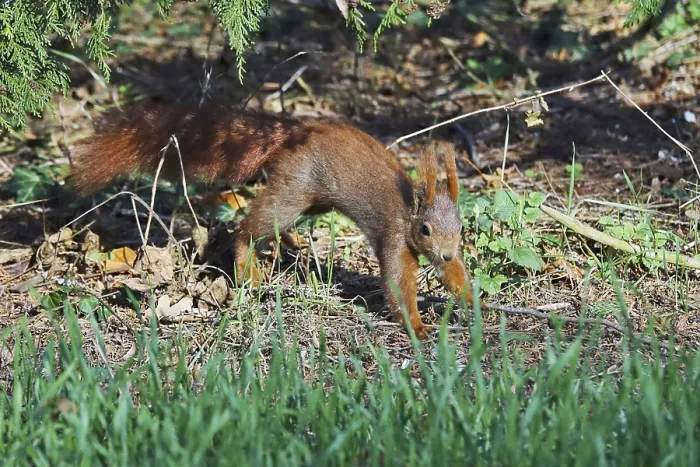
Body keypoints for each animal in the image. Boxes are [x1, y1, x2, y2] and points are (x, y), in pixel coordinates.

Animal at [70, 100, 474, 340]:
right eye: (425, 229)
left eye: (460, 229)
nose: (446, 253)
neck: (408, 210)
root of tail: (299, 131)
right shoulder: (393, 236)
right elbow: (397, 285)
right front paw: (418, 326)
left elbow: (453, 275)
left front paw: (471, 301)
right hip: (296, 191)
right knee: (251, 226)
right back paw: (247, 264)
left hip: (313, 202)